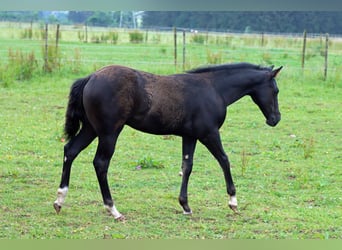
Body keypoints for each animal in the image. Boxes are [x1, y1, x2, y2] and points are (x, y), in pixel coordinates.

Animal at [53, 63, 282, 221]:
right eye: (276, 91)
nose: (275, 119)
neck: (214, 89)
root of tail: (91, 77)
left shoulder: (190, 136)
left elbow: (187, 166)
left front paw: (186, 206)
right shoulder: (209, 133)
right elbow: (224, 160)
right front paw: (233, 202)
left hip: (91, 128)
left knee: (70, 150)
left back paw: (59, 200)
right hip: (109, 132)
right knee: (100, 163)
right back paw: (113, 210)